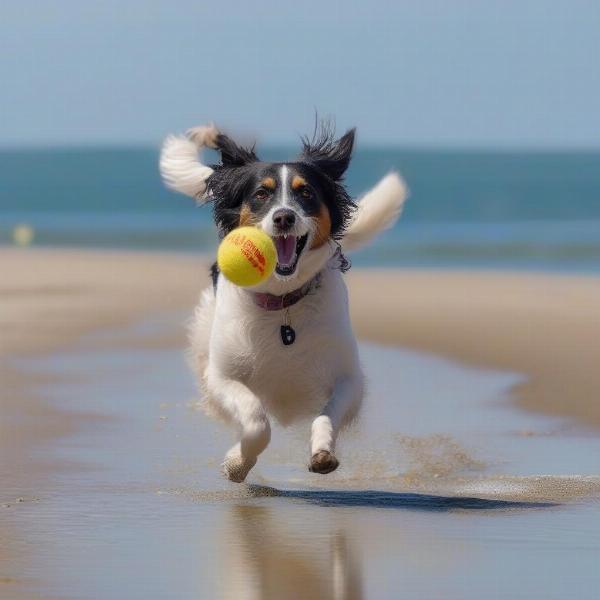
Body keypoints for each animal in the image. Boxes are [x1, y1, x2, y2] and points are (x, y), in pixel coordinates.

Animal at [158, 123, 408, 482]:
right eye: (262, 194)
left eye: (306, 193)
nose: (284, 218)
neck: (283, 301)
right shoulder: (222, 377)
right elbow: (256, 421)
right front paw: (237, 462)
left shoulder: (349, 379)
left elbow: (327, 416)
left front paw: (322, 452)